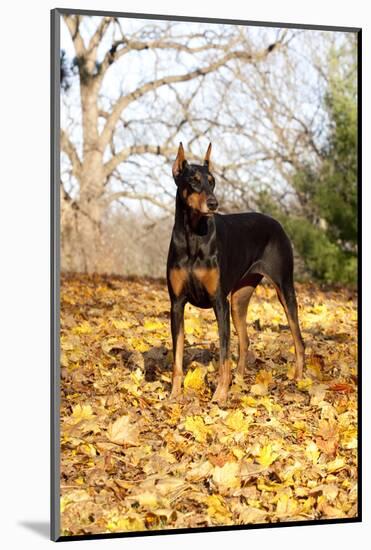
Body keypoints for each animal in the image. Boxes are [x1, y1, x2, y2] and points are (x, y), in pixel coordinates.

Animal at [168, 144, 306, 406]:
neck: (193, 236)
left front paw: (220, 395)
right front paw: (174, 394)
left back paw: (299, 379)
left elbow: (224, 354)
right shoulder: (177, 304)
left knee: (298, 338)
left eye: (212, 182)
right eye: (194, 180)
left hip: (284, 288)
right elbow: (178, 355)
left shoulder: (218, 302)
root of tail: (277, 223)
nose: (214, 203)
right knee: (245, 340)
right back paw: (240, 381)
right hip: (239, 299)